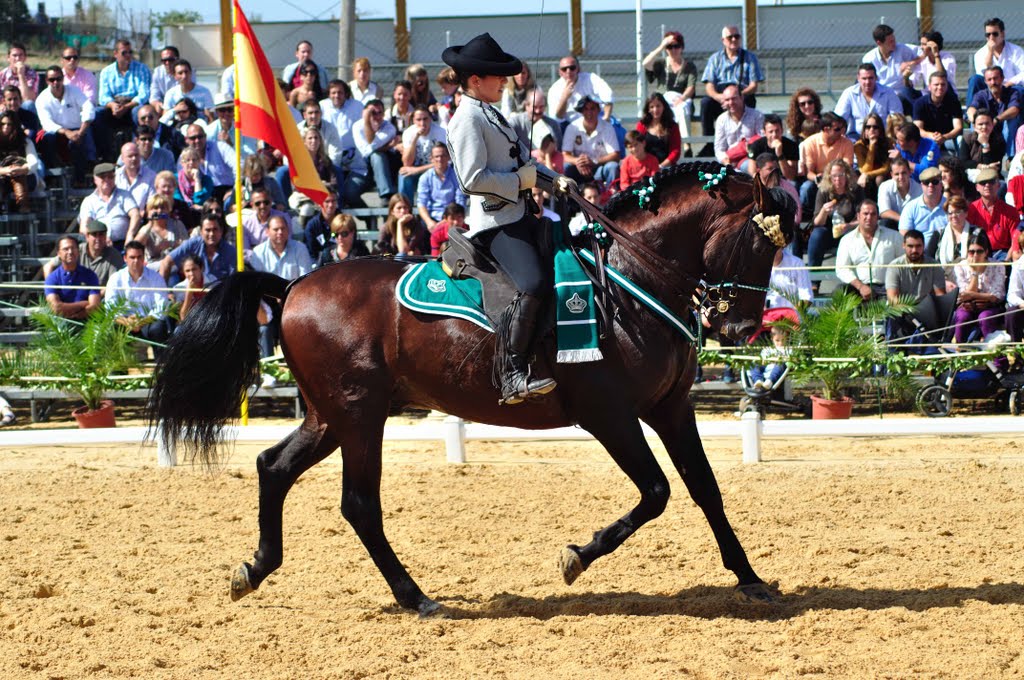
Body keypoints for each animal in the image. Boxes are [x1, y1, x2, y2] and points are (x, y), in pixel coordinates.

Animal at [148, 163, 794, 614]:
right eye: (760, 243)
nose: (741, 329)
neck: (628, 279)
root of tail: (292, 286)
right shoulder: (608, 413)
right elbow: (658, 492)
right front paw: (576, 558)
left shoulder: (670, 407)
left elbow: (706, 489)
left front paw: (751, 580)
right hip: (359, 416)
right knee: (358, 504)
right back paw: (416, 597)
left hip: (332, 416)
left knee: (273, 467)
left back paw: (255, 569)